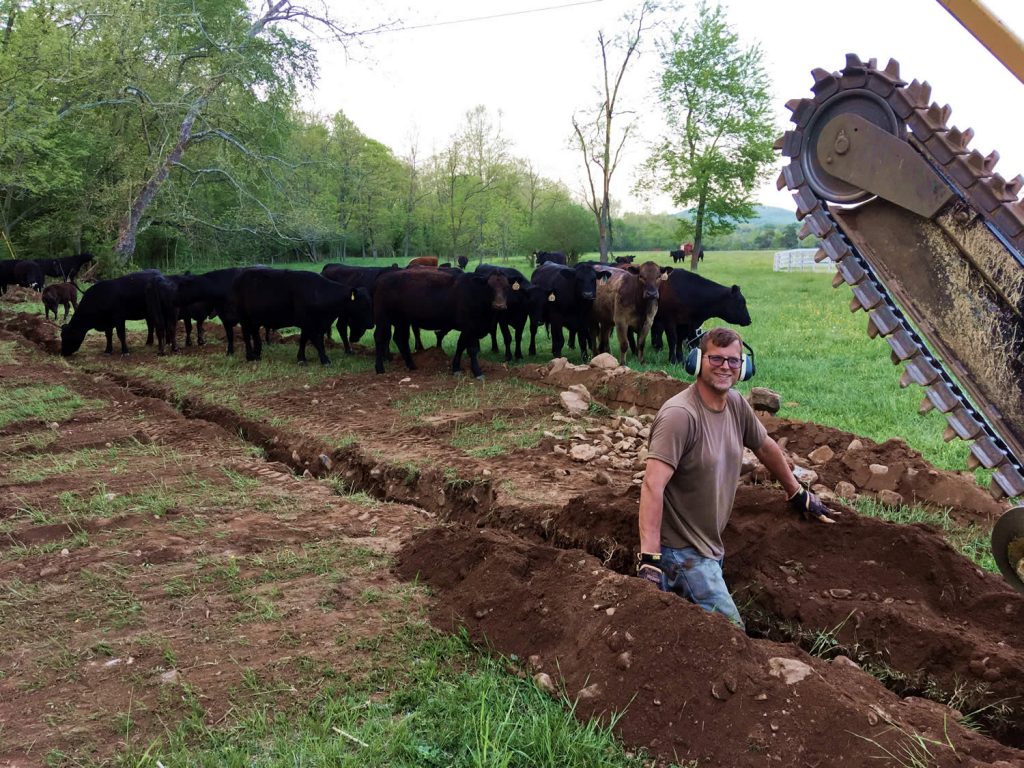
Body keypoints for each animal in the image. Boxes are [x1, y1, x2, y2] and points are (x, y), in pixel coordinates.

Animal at [233, 268, 376, 364]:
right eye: (363, 305)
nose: (371, 324)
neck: (318, 292)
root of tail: (242, 275)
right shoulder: (307, 322)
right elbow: (315, 340)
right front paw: (324, 359)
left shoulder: (314, 324)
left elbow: (304, 339)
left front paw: (301, 358)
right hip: (244, 317)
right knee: (246, 335)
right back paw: (250, 356)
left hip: (255, 319)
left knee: (255, 334)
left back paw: (257, 354)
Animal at [372, 268, 512, 380]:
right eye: (489, 286)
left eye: (507, 287)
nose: (499, 305)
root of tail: (382, 278)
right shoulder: (470, 327)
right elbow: (472, 350)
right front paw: (477, 372)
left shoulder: (467, 329)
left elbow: (460, 346)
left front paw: (456, 369)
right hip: (382, 317)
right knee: (379, 338)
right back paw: (379, 369)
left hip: (402, 320)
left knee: (400, 339)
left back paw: (411, 365)